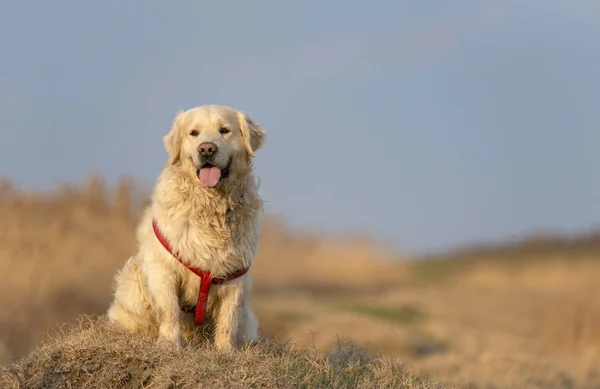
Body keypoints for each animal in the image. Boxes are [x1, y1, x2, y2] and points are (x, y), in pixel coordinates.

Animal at [107, 104, 264, 352]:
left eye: (225, 130)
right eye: (194, 133)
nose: (207, 149)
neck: (210, 206)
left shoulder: (235, 276)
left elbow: (228, 318)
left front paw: (225, 351)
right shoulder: (162, 268)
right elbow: (169, 309)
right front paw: (169, 343)